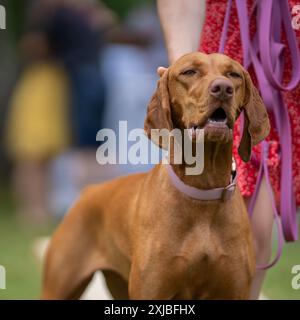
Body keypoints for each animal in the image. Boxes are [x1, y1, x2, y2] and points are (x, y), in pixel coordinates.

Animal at [41, 52, 270, 300]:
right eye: (189, 72)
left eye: (233, 75)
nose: (223, 88)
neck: (203, 189)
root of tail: (88, 191)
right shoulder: (151, 290)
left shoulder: (235, 291)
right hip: (58, 287)